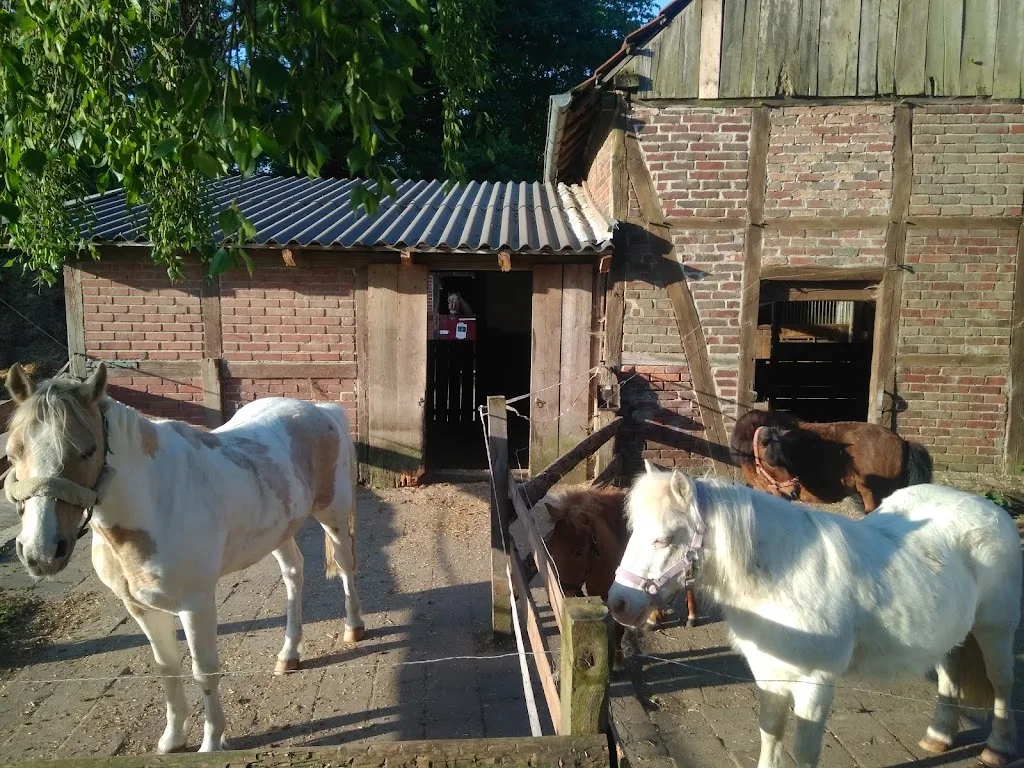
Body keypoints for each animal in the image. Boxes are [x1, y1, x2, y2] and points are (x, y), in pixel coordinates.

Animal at [3, 363, 365, 753]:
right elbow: (168, 667)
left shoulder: (196, 605)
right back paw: (289, 655)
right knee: (294, 573)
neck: (155, 500)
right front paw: (173, 740)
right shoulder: (141, 608)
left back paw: (353, 628)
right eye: (12, 453)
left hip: (332, 516)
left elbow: (203, 671)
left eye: (87, 450)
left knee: (345, 566)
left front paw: (210, 745)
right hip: (279, 530)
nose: (41, 551)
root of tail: (320, 410)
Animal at [541, 485, 698, 668]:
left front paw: (617, 659)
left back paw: (691, 616)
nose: (564, 590)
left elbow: (618, 628)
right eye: (551, 547)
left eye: (579, 551)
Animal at [608, 462, 1021, 768]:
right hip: (953, 632)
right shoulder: (769, 674)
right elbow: (770, 734)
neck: (782, 577)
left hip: (996, 630)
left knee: (1002, 682)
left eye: (663, 539)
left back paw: (997, 748)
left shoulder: (815, 684)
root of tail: (988, 507)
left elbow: (804, 750)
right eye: (633, 531)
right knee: (950, 675)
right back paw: (938, 737)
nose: (618, 603)